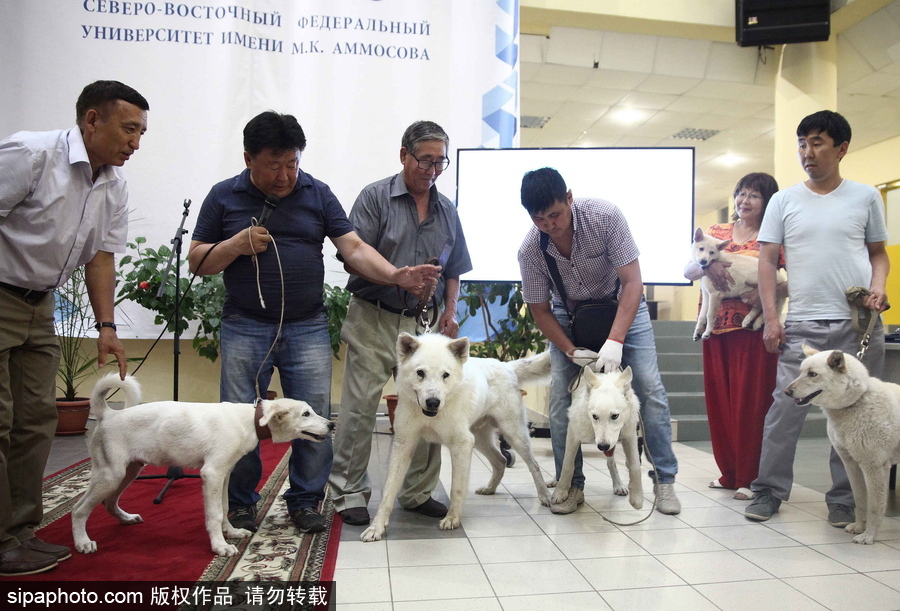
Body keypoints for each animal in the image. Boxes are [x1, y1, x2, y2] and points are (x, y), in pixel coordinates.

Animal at [72, 376, 334, 556]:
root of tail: (108, 414)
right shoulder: (212, 473)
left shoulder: (224, 474)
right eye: (306, 414)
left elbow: (224, 506)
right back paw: (82, 542)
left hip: (129, 470)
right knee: (78, 509)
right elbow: (214, 513)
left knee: (108, 502)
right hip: (111, 474)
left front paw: (231, 533)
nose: (331, 425)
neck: (250, 421)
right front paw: (220, 546)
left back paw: (125, 519)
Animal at [358, 332, 548, 544]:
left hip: (513, 433)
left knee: (534, 465)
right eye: (420, 373)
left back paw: (545, 496)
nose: (433, 402)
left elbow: (456, 488)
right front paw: (376, 527)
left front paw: (452, 519)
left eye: (445, 375)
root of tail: (506, 366)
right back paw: (490, 489)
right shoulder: (403, 444)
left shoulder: (462, 444)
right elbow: (388, 492)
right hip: (480, 439)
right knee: (500, 460)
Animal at [552, 368, 644, 512]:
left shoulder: (629, 435)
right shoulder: (573, 433)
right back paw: (554, 480)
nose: (602, 447)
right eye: (595, 416)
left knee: (611, 463)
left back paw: (618, 485)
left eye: (615, 416)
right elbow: (567, 464)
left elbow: (635, 466)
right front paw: (560, 492)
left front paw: (637, 498)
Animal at [784, 350, 900, 544]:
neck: (856, 402)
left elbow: (874, 507)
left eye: (812, 374)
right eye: (800, 372)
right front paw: (859, 527)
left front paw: (868, 535)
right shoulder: (851, 464)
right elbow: (860, 500)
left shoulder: (874, 467)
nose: (786, 392)